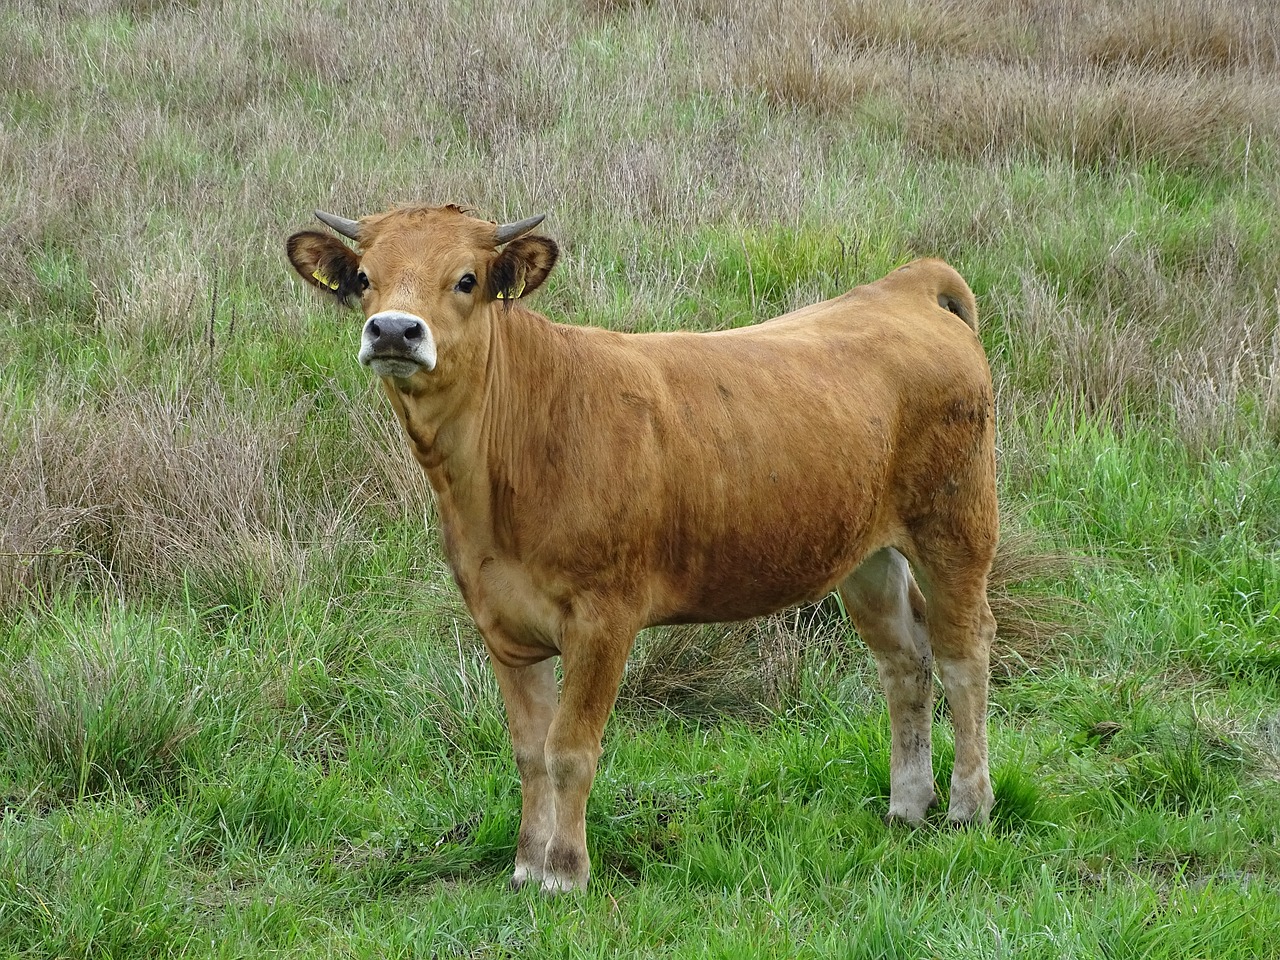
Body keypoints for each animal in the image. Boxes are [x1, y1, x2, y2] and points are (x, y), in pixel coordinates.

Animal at [288, 203, 998, 896]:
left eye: (466, 279)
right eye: (364, 279)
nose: (393, 331)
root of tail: (901, 286)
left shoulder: (604, 618)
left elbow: (570, 750)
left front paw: (565, 874)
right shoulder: (502, 624)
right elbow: (529, 751)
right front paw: (525, 865)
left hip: (957, 529)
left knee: (963, 652)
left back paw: (968, 806)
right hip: (868, 554)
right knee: (905, 661)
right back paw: (908, 804)